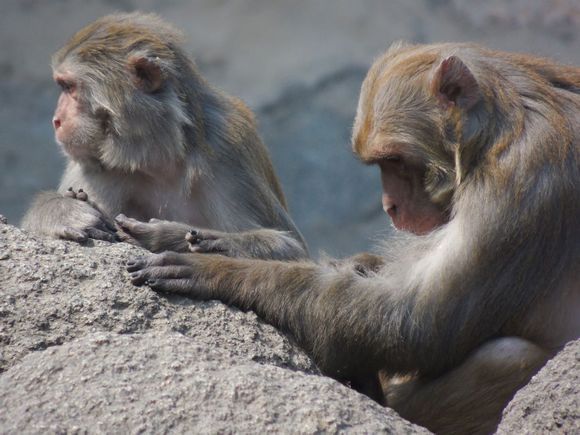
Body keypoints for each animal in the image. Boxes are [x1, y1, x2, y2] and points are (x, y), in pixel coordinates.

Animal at [21, 11, 308, 260]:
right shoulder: (98, 166)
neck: (158, 155)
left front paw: (167, 235)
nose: (56, 120)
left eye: (69, 87)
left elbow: (292, 250)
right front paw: (64, 212)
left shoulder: (228, 148)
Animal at [128, 42, 580, 434]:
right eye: (381, 164)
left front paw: (218, 269)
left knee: (505, 356)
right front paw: (210, 241)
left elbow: (417, 322)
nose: (389, 205)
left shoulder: (522, 179)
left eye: (395, 160)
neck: (494, 133)